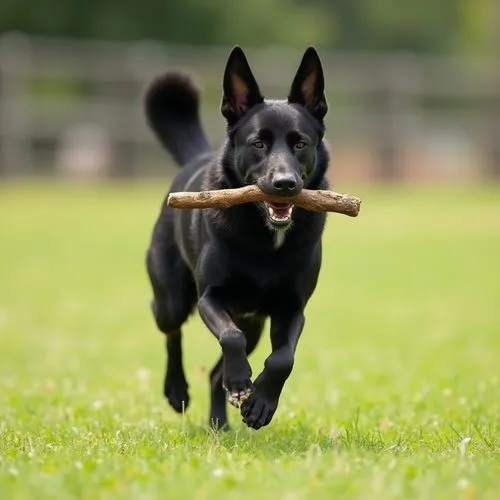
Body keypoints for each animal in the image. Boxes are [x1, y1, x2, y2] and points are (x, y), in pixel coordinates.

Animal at [145, 46, 330, 430]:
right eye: (258, 143)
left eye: (300, 144)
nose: (285, 184)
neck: (266, 241)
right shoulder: (211, 298)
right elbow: (231, 338)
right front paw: (242, 382)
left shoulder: (292, 308)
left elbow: (282, 359)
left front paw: (260, 402)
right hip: (172, 299)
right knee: (171, 328)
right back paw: (177, 388)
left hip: (255, 323)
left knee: (217, 372)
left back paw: (221, 423)